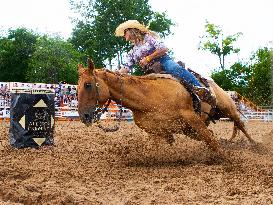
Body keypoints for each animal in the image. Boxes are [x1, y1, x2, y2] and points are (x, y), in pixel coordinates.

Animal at [77, 58, 254, 159]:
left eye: (88, 85)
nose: (84, 116)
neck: (148, 97)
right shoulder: (158, 132)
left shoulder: (191, 117)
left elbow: (212, 141)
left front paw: (228, 160)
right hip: (191, 130)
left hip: (228, 108)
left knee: (240, 125)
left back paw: (255, 145)